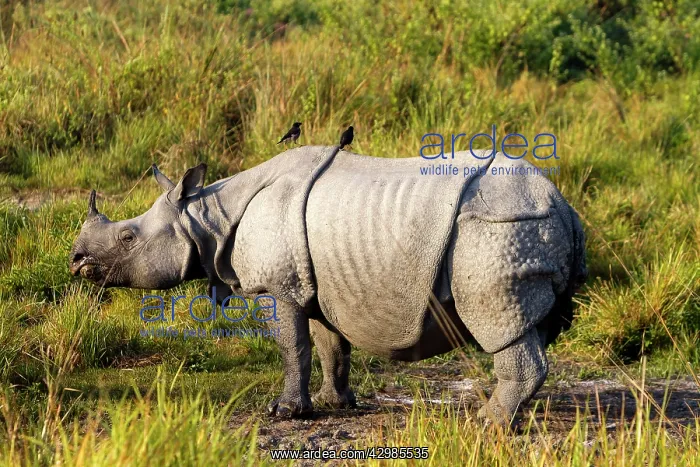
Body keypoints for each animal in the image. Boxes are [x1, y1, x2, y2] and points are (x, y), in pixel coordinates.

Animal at [69, 145, 587, 424]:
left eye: (127, 237)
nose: (76, 261)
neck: (206, 215)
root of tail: (560, 201)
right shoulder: (312, 285)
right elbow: (327, 347)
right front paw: (332, 403)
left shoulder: (278, 288)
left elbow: (292, 347)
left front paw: (285, 412)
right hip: (524, 224)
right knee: (531, 323)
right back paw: (515, 416)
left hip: (500, 227)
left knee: (500, 322)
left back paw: (488, 423)